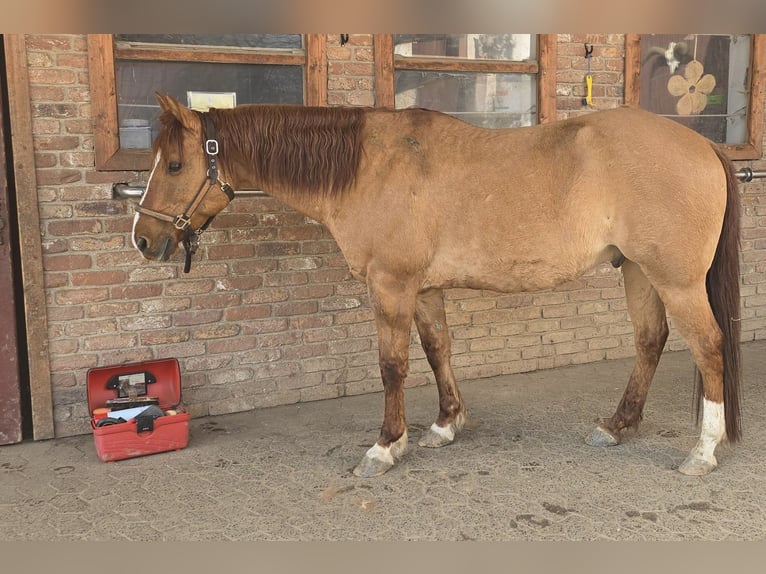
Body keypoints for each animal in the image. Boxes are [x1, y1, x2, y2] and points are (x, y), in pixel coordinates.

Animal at [133, 93, 741, 478]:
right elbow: (437, 350)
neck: (368, 167)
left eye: (175, 164)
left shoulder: (392, 286)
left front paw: (386, 446)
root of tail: (703, 146)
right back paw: (616, 426)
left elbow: (393, 366)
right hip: (637, 270)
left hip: (677, 280)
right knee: (649, 342)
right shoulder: (423, 290)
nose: (143, 239)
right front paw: (446, 425)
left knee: (708, 346)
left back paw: (703, 450)